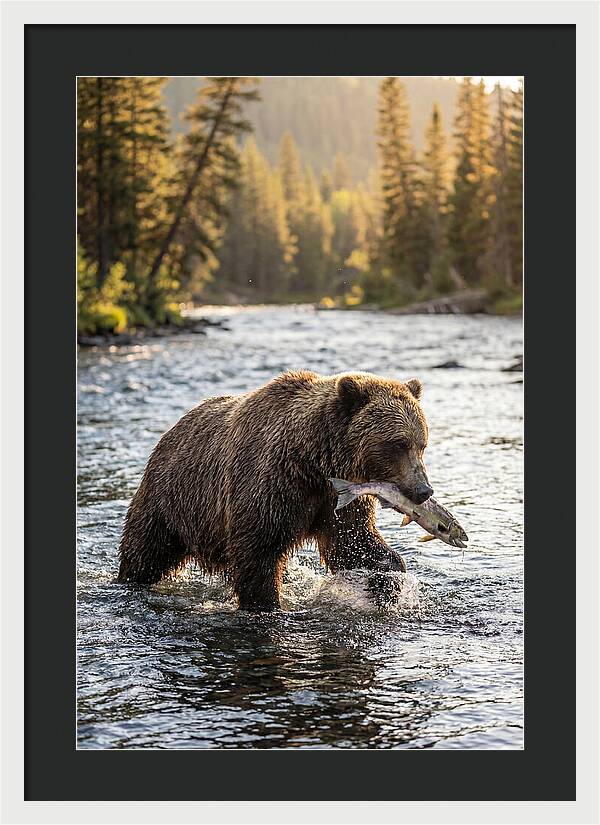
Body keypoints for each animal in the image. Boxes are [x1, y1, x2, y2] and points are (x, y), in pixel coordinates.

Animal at [117, 371, 433, 611]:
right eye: (398, 443)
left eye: (422, 443)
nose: (423, 490)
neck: (314, 461)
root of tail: (171, 430)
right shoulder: (272, 484)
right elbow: (258, 551)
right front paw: (265, 603)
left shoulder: (337, 498)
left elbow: (353, 542)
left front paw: (388, 582)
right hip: (171, 499)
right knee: (145, 550)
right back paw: (129, 580)